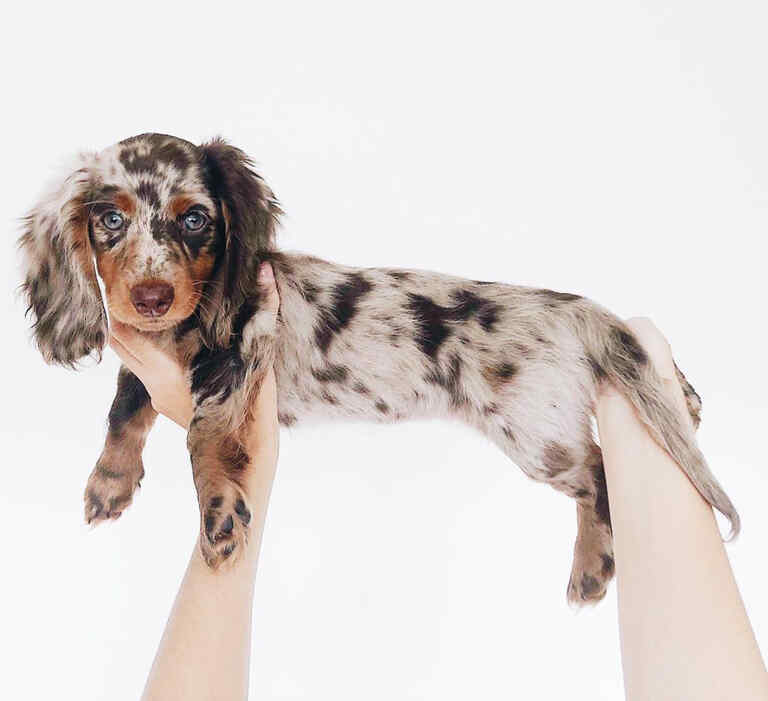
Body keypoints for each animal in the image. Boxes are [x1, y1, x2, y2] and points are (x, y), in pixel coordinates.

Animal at [19, 133, 736, 600]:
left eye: (195, 219)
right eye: (109, 219)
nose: (151, 297)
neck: (181, 330)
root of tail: (574, 308)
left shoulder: (236, 356)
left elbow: (203, 438)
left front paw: (218, 512)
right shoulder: (145, 366)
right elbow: (124, 409)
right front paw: (109, 482)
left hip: (536, 433)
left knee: (600, 473)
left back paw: (592, 562)